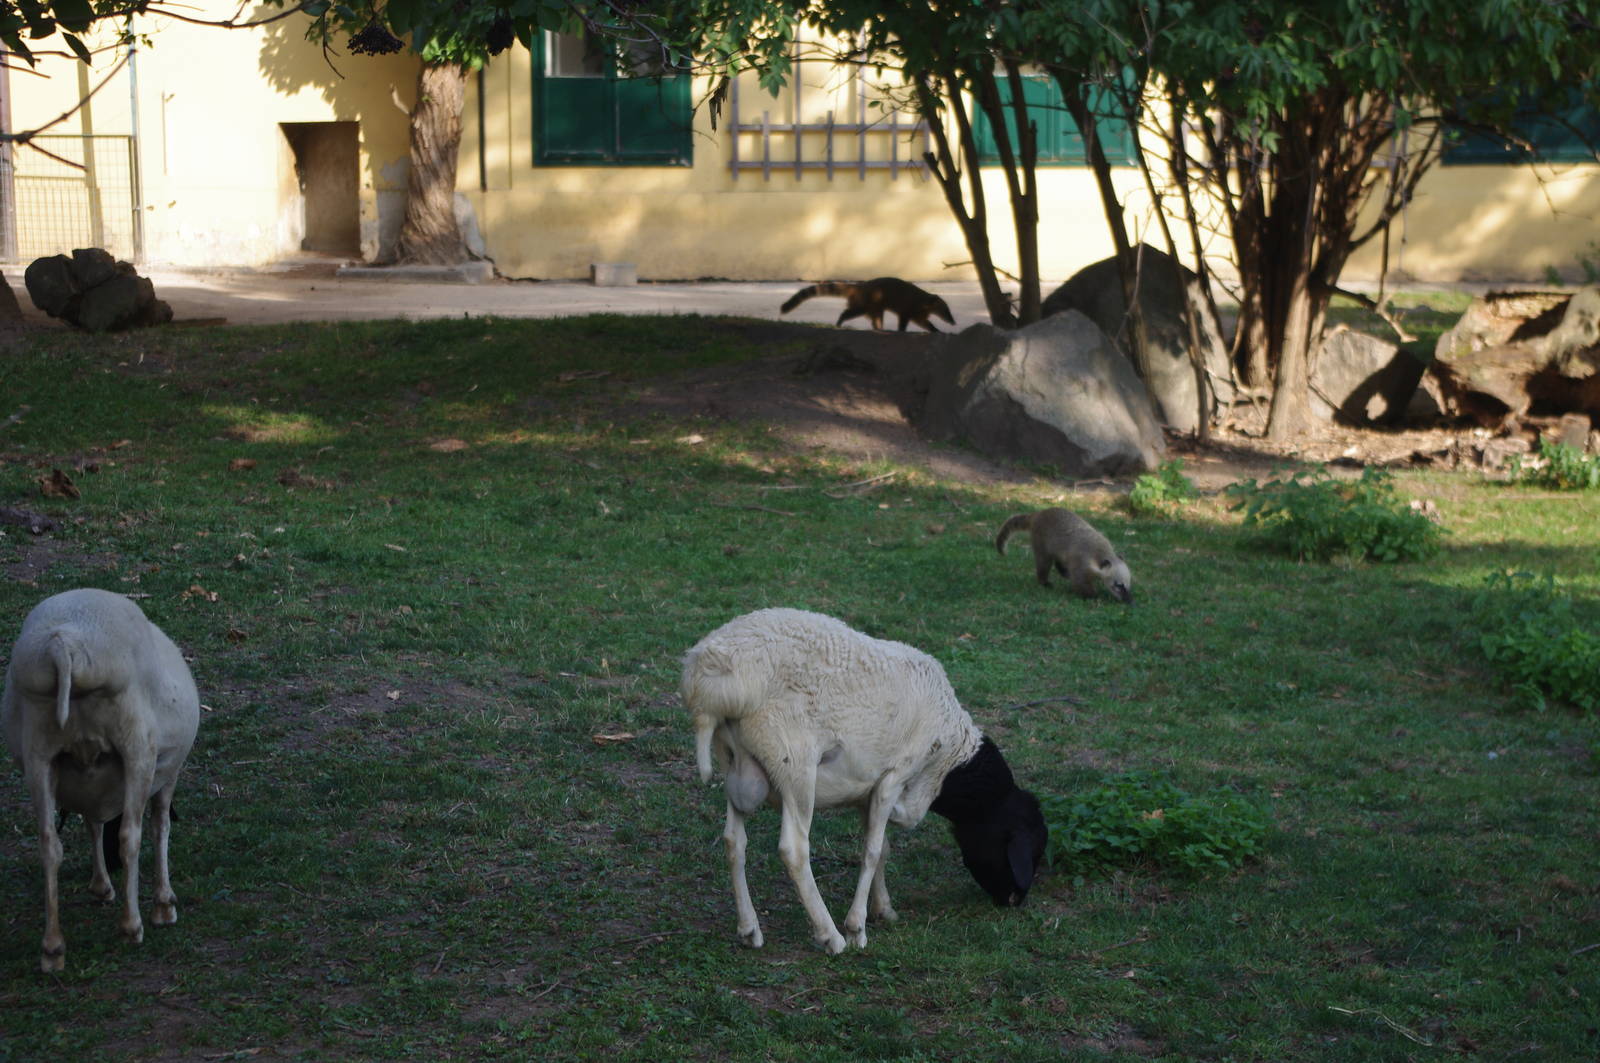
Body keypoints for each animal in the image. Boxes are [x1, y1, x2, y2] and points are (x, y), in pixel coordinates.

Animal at [2, 588, 200, 973]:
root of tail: (65, 645)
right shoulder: (166, 774)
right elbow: (160, 826)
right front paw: (164, 903)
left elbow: (92, 824)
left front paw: (101, 885)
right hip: (136, 744)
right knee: (129, 836)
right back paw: (132, 925)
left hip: (38, 751)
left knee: (49, 844)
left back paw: (53, 948)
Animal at [682, 607, 1047, 953]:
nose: (1014, 900)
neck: (948, 761)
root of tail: (707, 675)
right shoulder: (894, 776)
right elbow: (871, 851)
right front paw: (856, 927)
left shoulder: (867, 791)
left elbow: (881, 847)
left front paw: (884, 909)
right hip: (794, 761)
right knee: (793, 849)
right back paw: (830, 936)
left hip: (736, 765)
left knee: (733, 841)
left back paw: (749, 929)